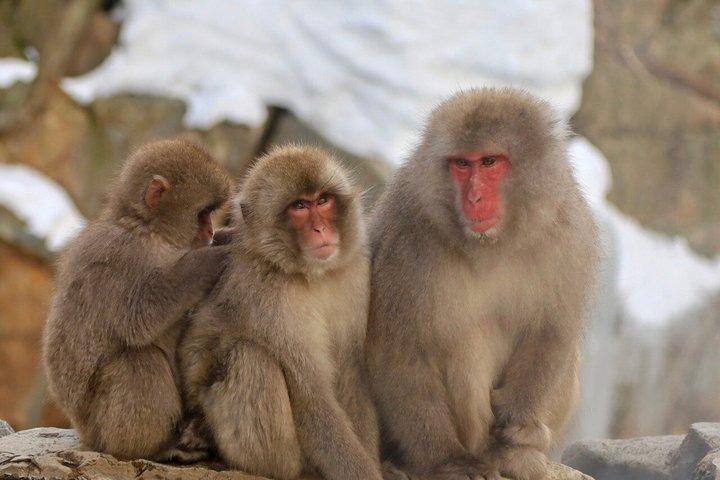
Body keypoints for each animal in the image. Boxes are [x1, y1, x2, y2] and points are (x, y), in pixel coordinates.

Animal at [43, 139, 232, 461]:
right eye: (203, 212)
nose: (209, 231)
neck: (149, 229)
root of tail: (83, 433)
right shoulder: (119, 257)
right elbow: (138, 318)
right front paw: (208, 260)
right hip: (100, 429)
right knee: (139, 361)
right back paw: (156, 447)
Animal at [178, 145, 384, 480]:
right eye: (299, 206)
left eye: (322, 200)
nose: (320, 229)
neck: (310, 275)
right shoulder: (271, 300)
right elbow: (312, 395)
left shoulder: (354, 277)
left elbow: (353, 374)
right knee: (250, 357)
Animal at [366, 88, 599, 480]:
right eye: (462, 164)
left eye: (489, 162)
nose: (473, 198)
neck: (493, 245)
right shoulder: (407, 243)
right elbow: (402, 351)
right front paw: (447, 460)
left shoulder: (567, 234)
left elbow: (550, 331)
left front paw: (518, 425)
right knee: (466, 340)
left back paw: (523, 450)